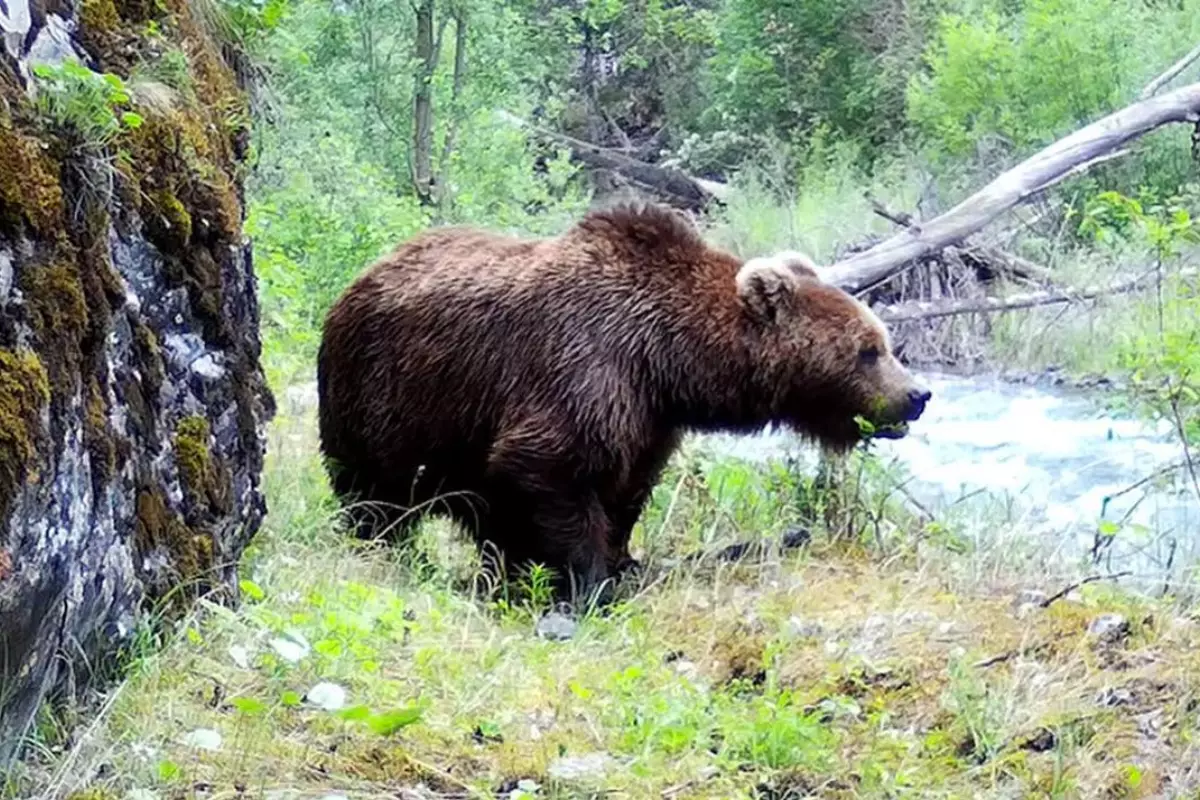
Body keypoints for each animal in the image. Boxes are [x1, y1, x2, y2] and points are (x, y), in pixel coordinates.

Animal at [317, 203, 930, 602]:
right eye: (868, 350)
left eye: (884, 342)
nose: (917, 395)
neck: (668, 358)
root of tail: (363, 275)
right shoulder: (583, 367)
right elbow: (550, 469)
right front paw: (589, 581)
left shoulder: (649, 416)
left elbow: (628, 488)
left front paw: (620, 559)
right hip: (384, 399)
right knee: (375, 495)